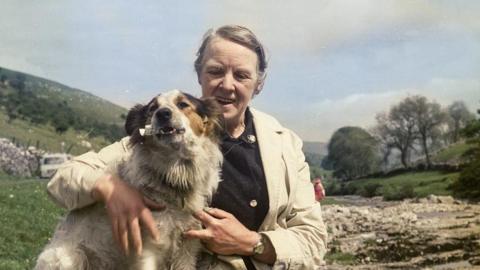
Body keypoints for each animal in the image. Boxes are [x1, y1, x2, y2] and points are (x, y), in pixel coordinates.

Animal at [35, 90, 223, 270]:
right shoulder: (147, 248)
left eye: (183, 104)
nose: (162, 113)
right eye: (152, 109)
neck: (174, 178)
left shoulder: (187, 247)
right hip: (69, 258)